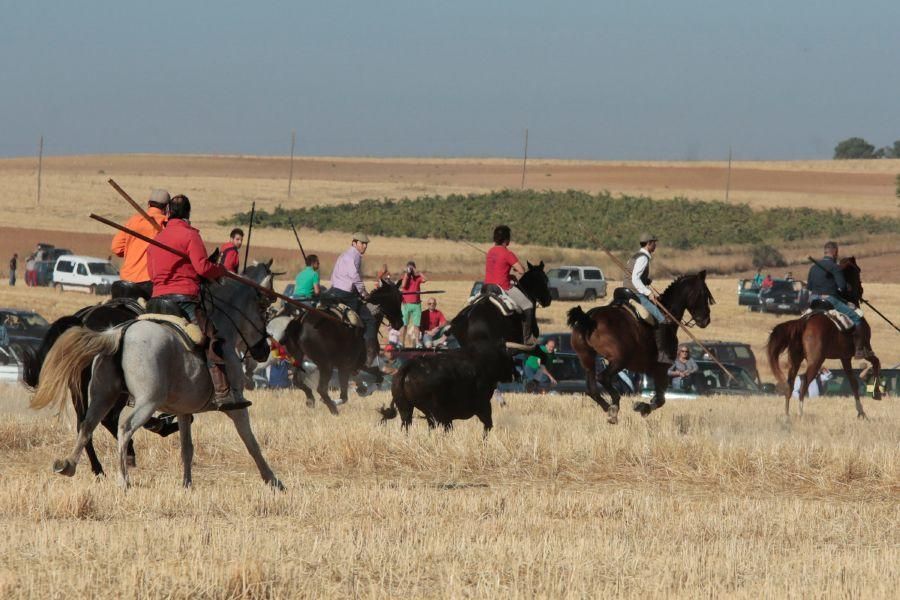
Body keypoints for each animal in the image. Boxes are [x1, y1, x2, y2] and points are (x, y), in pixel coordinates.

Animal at [32, 270, 282, 490]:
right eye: (263, 311)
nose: (263, 350)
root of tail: (120, 333)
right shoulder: (237, 407)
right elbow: (251, 442)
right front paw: (273, 480)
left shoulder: (184, 410)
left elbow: (186, 447)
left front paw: (187, 484)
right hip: (145, 402)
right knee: (123, 427)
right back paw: (123, 477)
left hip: (102, 396)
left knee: (87, 425)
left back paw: (71, 466)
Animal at [284, 280, 402, 412]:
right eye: (398, 298)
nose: (400, 323)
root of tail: (302, 323)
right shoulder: (353, 365)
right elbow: (375, 380)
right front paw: (363, 390)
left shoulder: (349, 366)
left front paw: (361, 388)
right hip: (326, 365)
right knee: (321, 388)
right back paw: (332, 408)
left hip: (298, 358)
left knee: (297, 380)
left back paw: (311, 399)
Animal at [572, 274, 712, 424]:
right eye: (704, 293)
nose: (706, 320)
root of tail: (589, 318)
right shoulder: (661, 369)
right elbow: (661, 399)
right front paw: (643, 407)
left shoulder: (650, 369)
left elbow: (659, 398)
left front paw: (643, 406)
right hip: (619, 360)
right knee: (603, 377)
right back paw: (614, 406)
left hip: (587, 359)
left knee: (592, 389)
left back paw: (608, 408)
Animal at [768, 256, 880, 418]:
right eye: (858, 271)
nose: (860, 290)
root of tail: (804, 322)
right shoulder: (865, 350)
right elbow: (876, 363)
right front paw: (877, 393)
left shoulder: (845, 358)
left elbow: (853, 383)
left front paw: (861, 412)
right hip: (816, 361)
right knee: (804, 382)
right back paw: (800, 413)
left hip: (795, 360)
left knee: (790, 384)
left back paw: (787, 415)